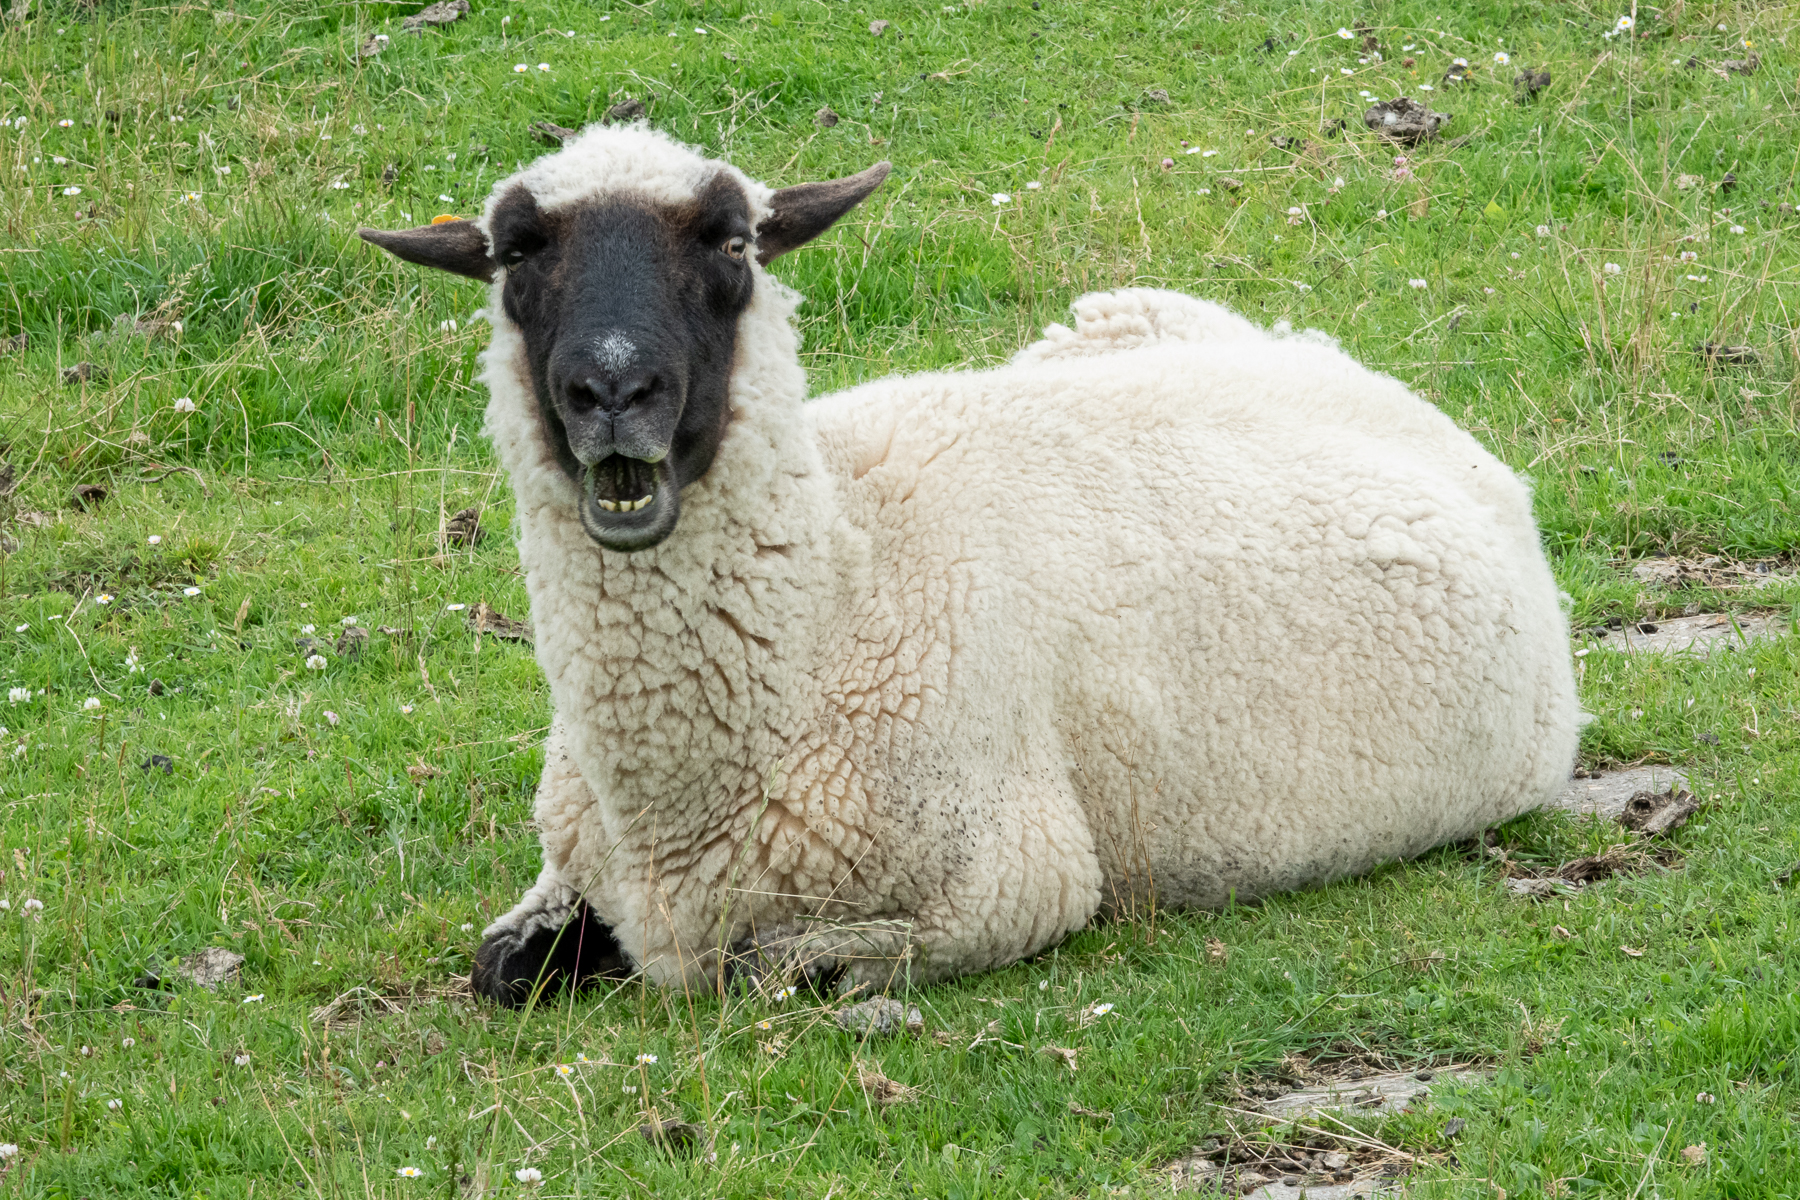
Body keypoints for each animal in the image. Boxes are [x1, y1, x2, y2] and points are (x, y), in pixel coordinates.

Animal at [359, 125, 1582, 1004]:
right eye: (516, 253)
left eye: (733, 243)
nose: (613, 391)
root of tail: (1373, 380)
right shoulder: (577, 870)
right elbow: (499, 969)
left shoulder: (1016, 882)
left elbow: (770, 970)